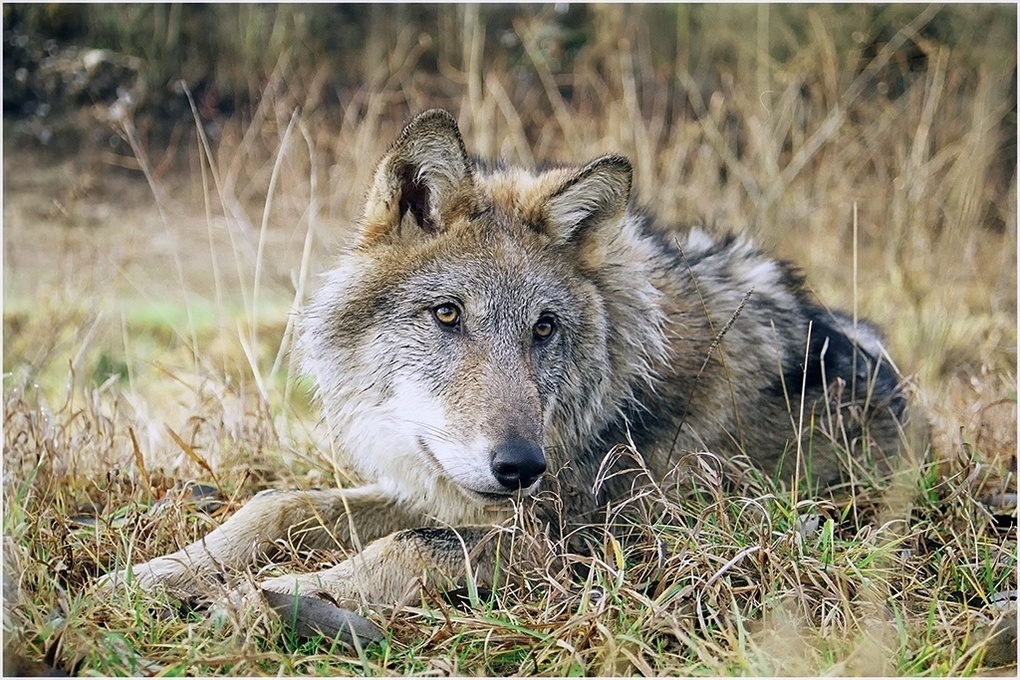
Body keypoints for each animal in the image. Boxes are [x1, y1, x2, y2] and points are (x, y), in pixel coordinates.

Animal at [109, 106, 909, 632]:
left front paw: (257, 598)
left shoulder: (587, 542)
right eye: (447, 315)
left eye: (543, 328)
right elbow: (277, 503)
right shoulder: (446, 488)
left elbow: (409, 547)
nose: (520, 466)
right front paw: (154, 574)